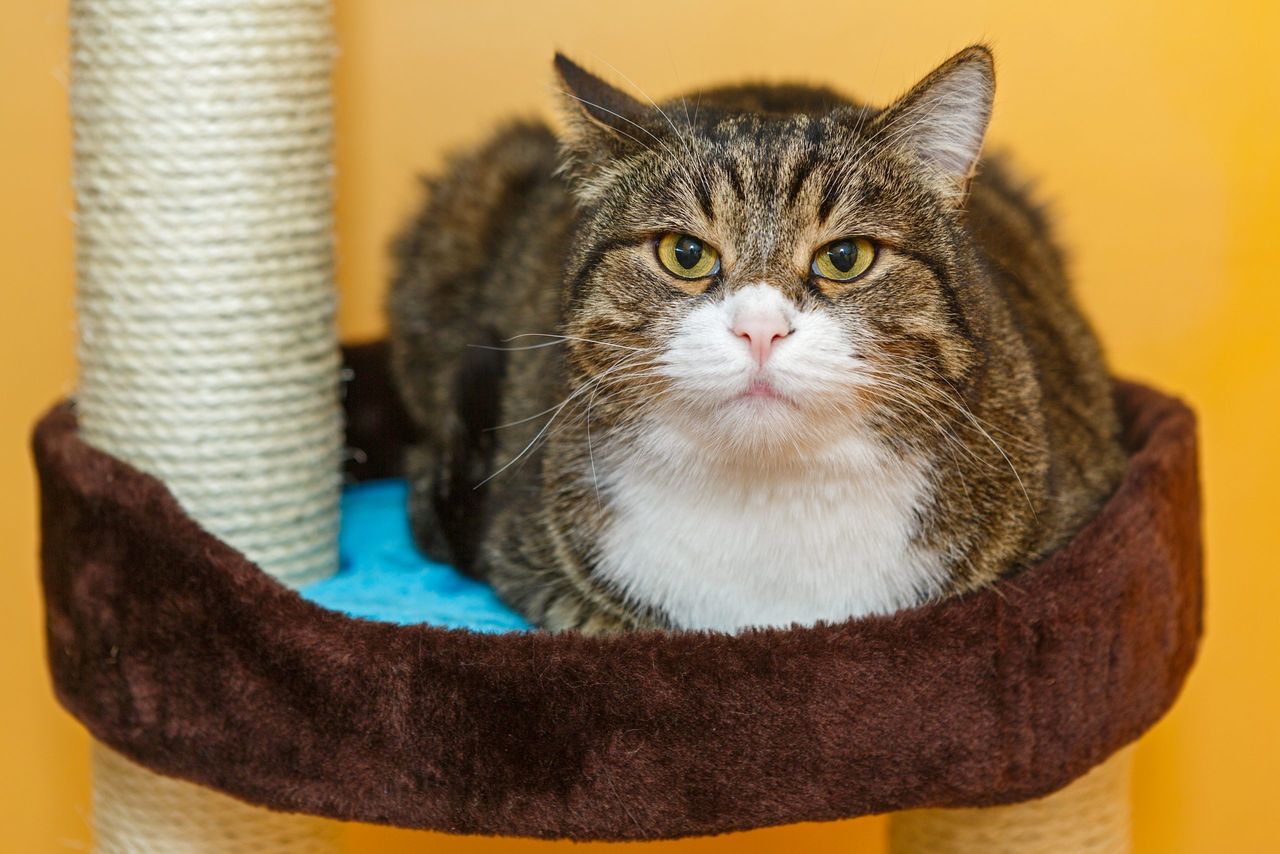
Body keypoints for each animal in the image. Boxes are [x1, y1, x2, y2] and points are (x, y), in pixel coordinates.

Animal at [384, 46, 1126, 635]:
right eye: (685, 253)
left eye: (845, 257)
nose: (760, 328)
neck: (771, 498)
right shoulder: (523, 554)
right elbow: (599, 621)